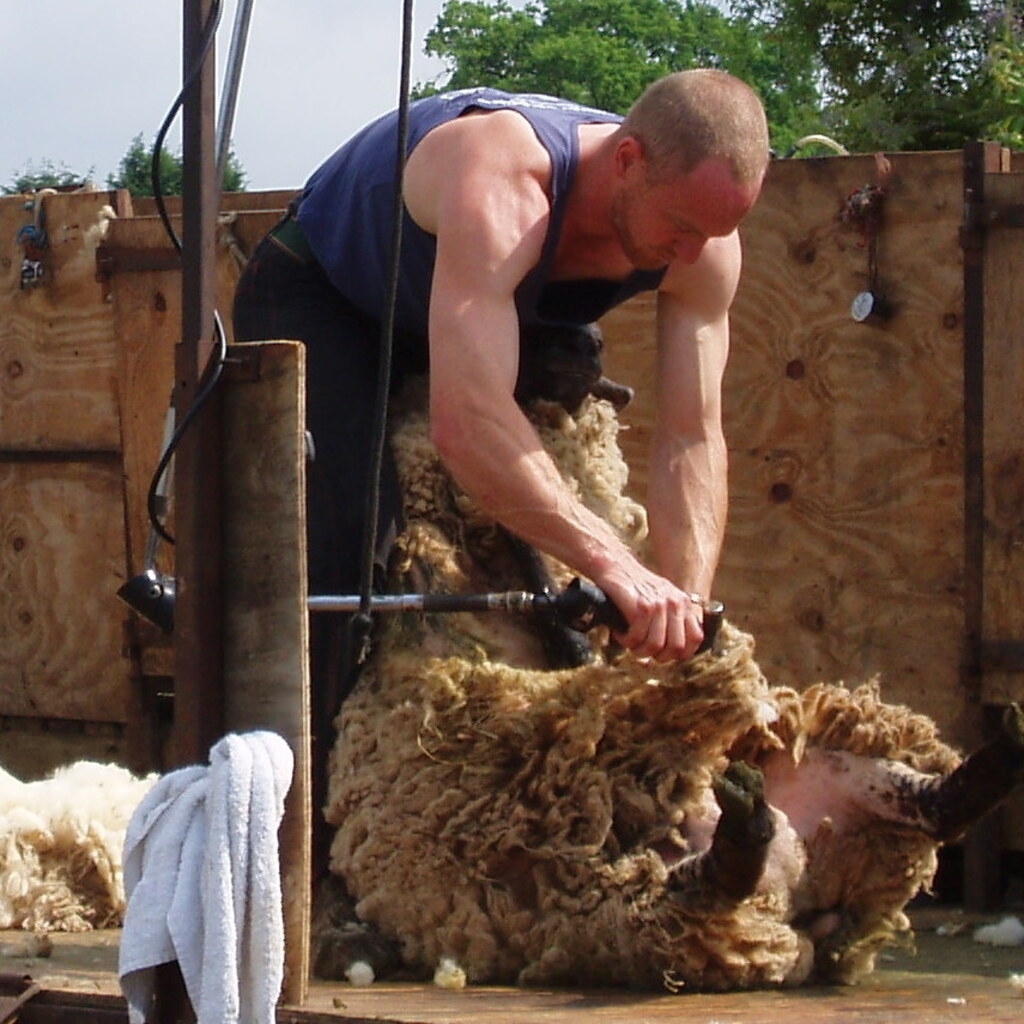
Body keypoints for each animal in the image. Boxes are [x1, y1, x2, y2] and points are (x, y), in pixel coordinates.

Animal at [317, 364, 1024, 992]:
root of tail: (804, 908)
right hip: (614, 901)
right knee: (700, 892)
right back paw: (747, 828)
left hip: (801, 796)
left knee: (920, 802)